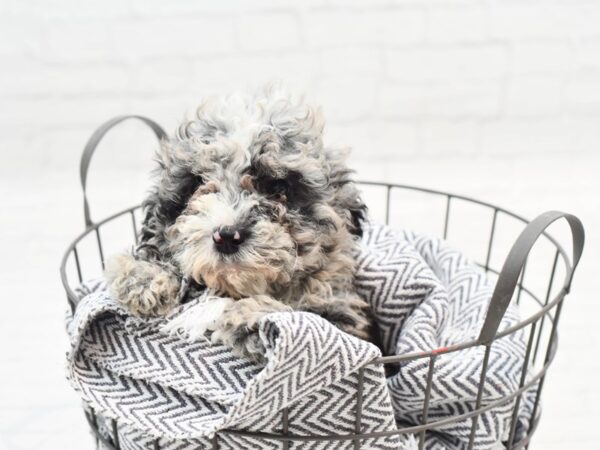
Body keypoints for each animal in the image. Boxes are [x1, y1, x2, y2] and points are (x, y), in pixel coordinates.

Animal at [105, 88, 372, 362]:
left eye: (279, 187)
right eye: (197, 183)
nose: (226, 236)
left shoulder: (345, 323)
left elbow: (309, 322)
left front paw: (252, 316)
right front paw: (144, 278)